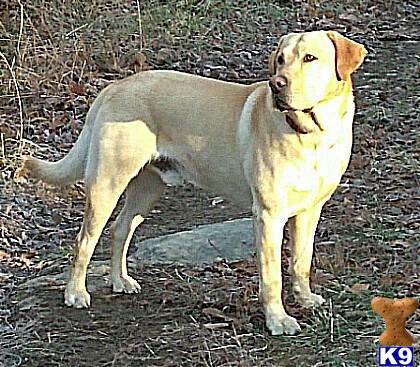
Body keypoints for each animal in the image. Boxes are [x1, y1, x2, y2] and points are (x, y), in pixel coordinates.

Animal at [21, 31, 366, 336]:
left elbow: (300, 262)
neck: (313, 134)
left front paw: (305, 299)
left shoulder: (310, 211)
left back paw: (120, 281)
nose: (276, 84)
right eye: (280, 60)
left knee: (121, 229)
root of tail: (115, 86)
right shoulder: (269, 216)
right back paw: (75, 293)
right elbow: (272, 277)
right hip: (108, 182)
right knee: (84, 241)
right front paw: (278, 321)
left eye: (310, 58)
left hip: (148, 188)